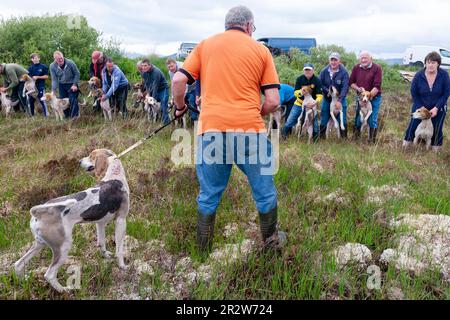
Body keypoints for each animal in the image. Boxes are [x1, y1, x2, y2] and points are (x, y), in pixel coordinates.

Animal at [14, 149, 130, 292]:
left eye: (91, 156)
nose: (79, 161)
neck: (114, 175)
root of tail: (38, 212)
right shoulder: (121, 221)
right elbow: (119, 249)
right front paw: (122, 266)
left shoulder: (100, 222)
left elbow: (101, 243)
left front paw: (106, 256)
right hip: (63, 247)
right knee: (49, 274)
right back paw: (64, 290)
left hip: (40, 244)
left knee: (18, 265)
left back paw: (25, 281)